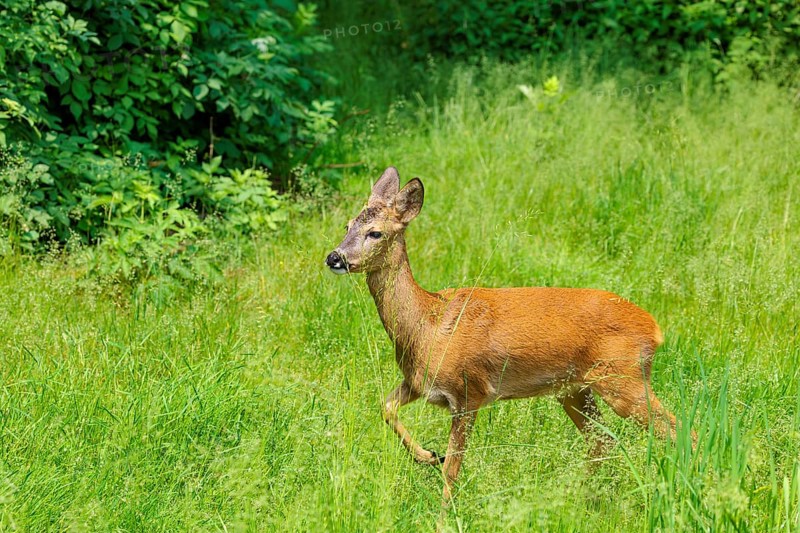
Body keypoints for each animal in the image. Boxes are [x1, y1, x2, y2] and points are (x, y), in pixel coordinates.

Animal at [325, 166, 688, 507]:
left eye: (375, 232)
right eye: (347, 225)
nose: (334, 258)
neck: (426, 325)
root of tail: (654, 329)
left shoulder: (468, 391)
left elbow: (452, 470)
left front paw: (444, 513)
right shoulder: (417, 382)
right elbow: (385, 407)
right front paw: (427, 456)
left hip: (622, 379)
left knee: (678, 430)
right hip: (574, 389)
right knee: (603, 441)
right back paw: (583, 501)